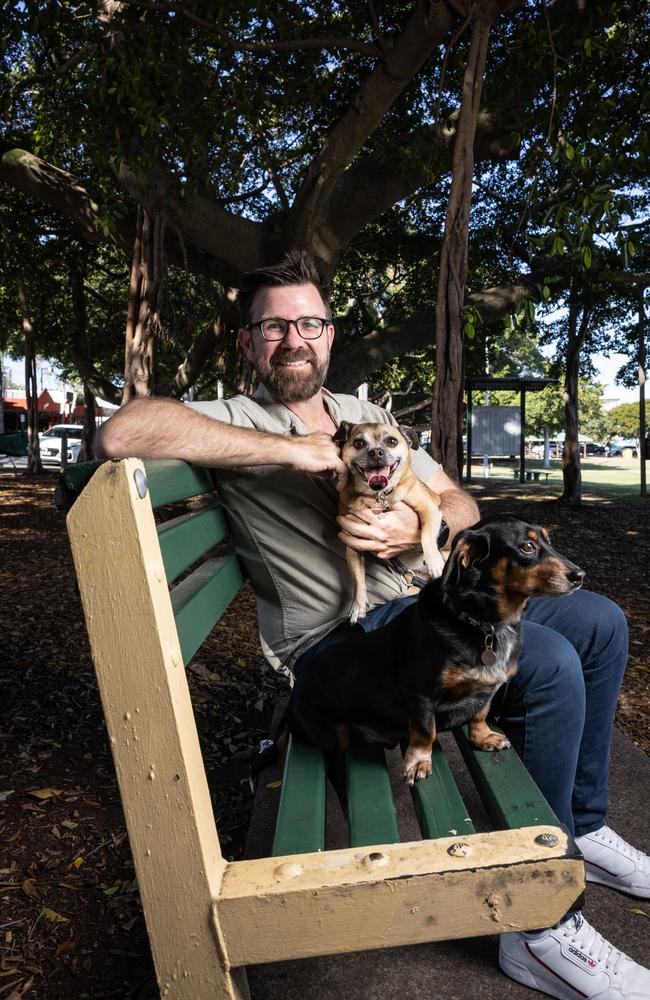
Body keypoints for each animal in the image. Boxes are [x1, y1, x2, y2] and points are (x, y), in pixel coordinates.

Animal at [284, 520, 584, 784]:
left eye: (549, 541)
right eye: (527, 547)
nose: (579, 576)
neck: (483, 626)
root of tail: (296, 690)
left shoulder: (488, 689)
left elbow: (481, 712)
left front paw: (483, 736)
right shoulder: (421, 693)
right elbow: (425, 731)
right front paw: (418, 761)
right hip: (333, 741)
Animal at [334, 422, 446, 624]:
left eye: (391, 441)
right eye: (358, 443)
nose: (376, 452)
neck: (378, 495)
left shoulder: (430, 509)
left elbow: (426, 535)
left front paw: (434, 561)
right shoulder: (353, 546)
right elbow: (358, 580)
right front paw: (358, 605)